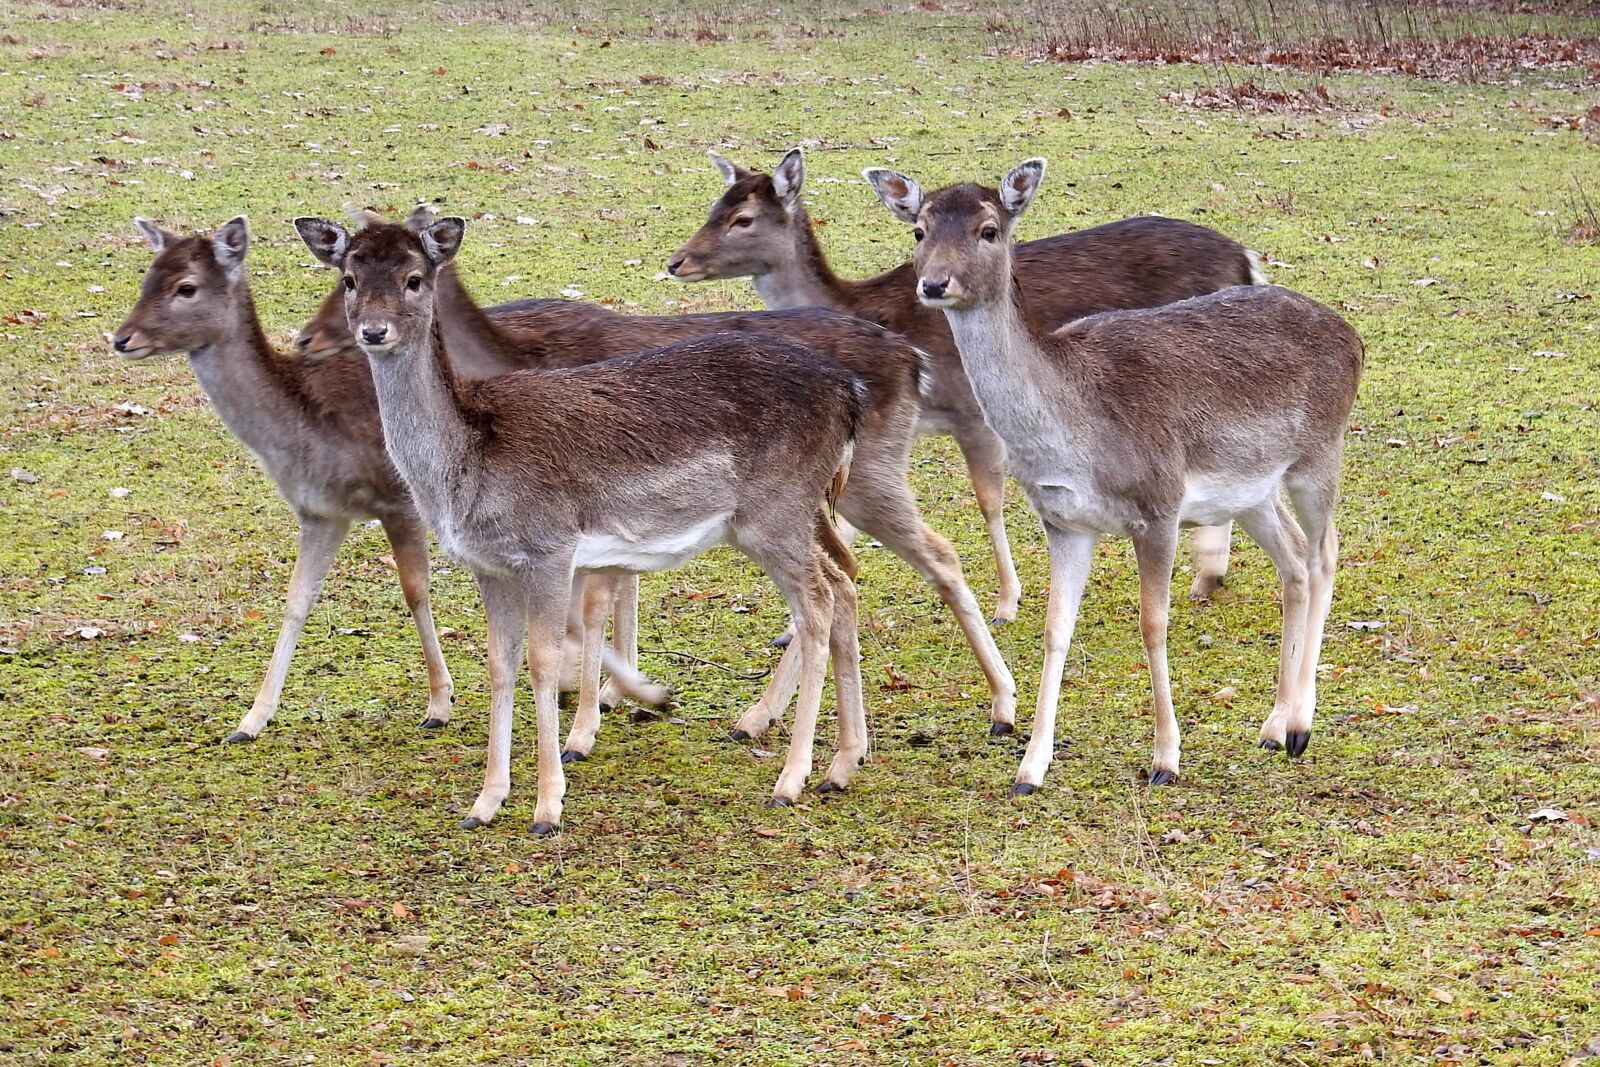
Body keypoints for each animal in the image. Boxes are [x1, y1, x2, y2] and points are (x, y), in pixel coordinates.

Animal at [294, 209, 870, 832]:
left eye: (415, 278)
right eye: (349, 279)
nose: (374, 331)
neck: (464, 464)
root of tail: (850, 393)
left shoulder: (550, 547)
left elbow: (544, 664)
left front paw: (548, 805)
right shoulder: (488, 566)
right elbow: (499, 665)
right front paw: (485, 803)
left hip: (776, 513)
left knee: (817, 603)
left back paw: (790, 779)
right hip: (794, 514)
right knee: (842, 582)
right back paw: (844, 764)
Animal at [294, 215, 1021, 745]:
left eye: (416, 278)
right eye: (346, 275)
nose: (326, 336)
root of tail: (910, 356)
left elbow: (592, 607)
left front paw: (591, 720)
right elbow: (605, 601)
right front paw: (617, 697)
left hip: (859, 478)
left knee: (927, 555)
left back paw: (999, 705)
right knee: (846, 573)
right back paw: (791, 726)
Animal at [669, 148, 1264, 618]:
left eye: (744, 219)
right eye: (715, 208)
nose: (677, 261)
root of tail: (1247, 259)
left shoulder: (970, 413)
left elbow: (988, 501)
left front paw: (1007, 601)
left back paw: (1206, 574)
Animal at [862, 159, 1362, 792]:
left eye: (988, 229)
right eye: (919, 230)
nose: (934, 284)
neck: (1077, 431)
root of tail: (1352, 334)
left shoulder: (1160, 505)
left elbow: (1153, 624)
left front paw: (1165, 759)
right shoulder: (1063, 519)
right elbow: (1055, 629)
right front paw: (1030, 766)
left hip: (1319, 453)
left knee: (1325, 554)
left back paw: (1300, 725)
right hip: (1251, 489)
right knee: (1294, 560)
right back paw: (1272, 726)